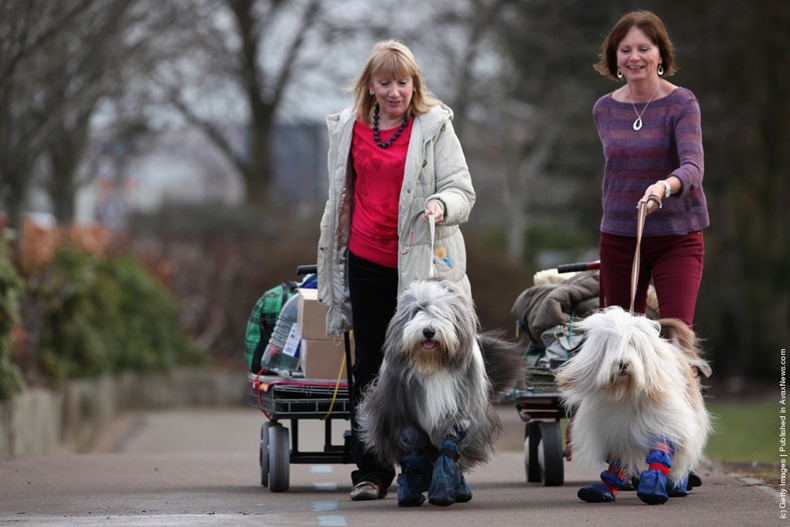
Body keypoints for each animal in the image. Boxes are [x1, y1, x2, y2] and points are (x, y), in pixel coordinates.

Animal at [552, 308, 716, 506]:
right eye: (612, 344)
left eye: (632, 343)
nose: (622, 363)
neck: (627, 394)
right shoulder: (615, 432)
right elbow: (616, 464)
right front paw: (603, 490)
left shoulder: (664, 423)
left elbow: (660, 454)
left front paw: (652, 489)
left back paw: (678, 486)